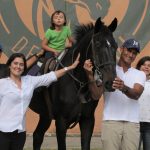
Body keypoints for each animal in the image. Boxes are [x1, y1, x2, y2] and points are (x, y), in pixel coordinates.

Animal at [29, 17, 118, 149]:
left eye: (115, 46)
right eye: (97, 44)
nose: (111, 81)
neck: (78, 84)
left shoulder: (88, 120)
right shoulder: (61, 122)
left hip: (45, 115)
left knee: (37, 136)